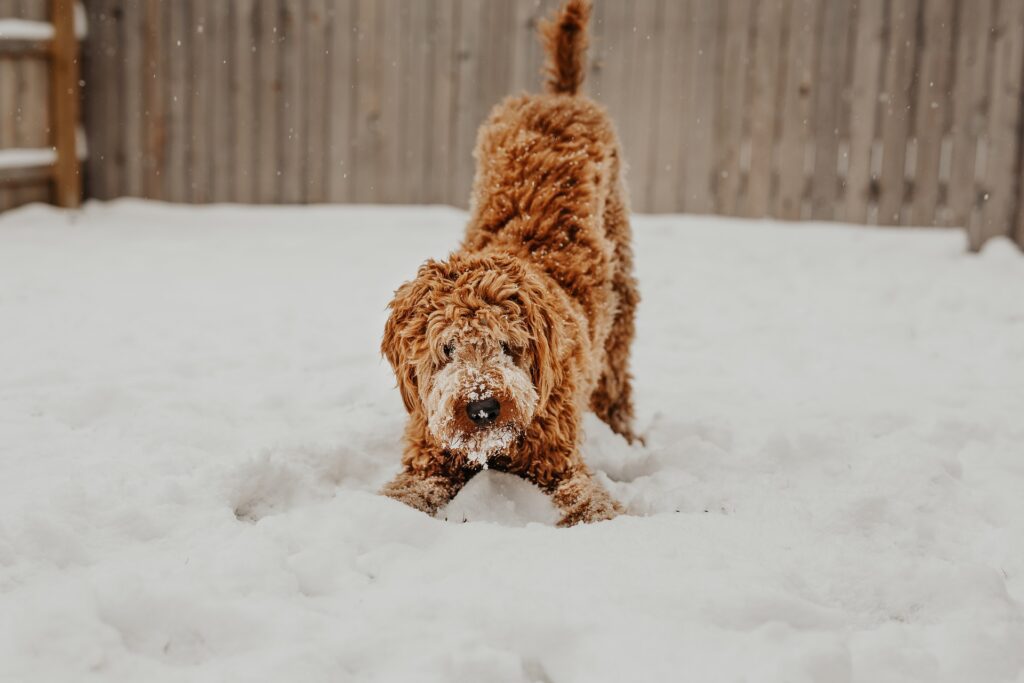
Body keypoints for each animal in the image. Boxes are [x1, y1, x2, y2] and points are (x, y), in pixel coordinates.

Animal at [382, 0, 638, 528]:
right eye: (446, 349)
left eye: (507, 344)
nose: (482, 407)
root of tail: (558, 96)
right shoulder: (429, 454)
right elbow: (406, 492)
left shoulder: (558, 459)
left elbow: (589, 500)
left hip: (622, 286)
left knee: (617, 373)